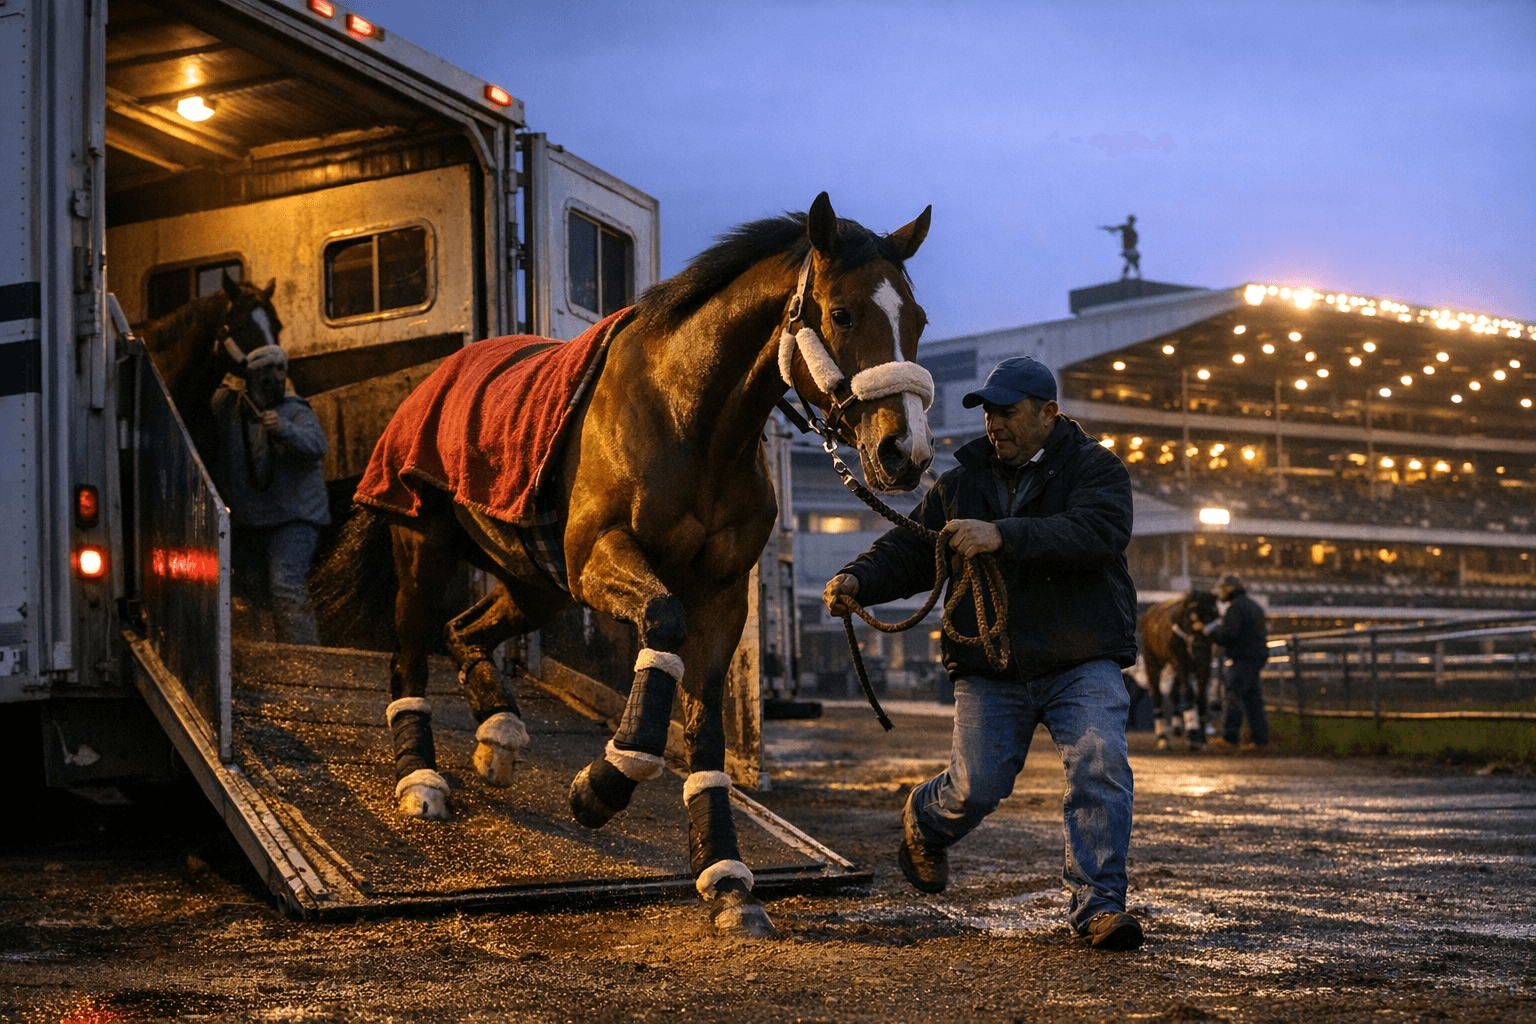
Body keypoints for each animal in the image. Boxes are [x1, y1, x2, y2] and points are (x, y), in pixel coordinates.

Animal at [318, 193, 934, 939]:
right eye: (842, 313)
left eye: (917, 320)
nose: (906, 453)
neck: (687, 421)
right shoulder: (600, 558)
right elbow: (662, 628)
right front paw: (605, 782)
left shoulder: (720, 595)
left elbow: (704, 729)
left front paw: (728, 880)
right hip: (425, 546)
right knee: (411, 647)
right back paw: (421, 777)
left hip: (535, 580)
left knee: (462, 630)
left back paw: (499, 733)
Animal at [1137, 589, 1218, 750]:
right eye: (1191, 615)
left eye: (1213, 614)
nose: (1199, 644)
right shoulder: (1180, 663)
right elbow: (1188, 693)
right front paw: (1193, 734)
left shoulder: (1204, 664)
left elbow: (1200, 697)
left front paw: (1201, 738)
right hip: (1152, 661)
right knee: (1157, 694)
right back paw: (1162, 737)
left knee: (1174, 693)